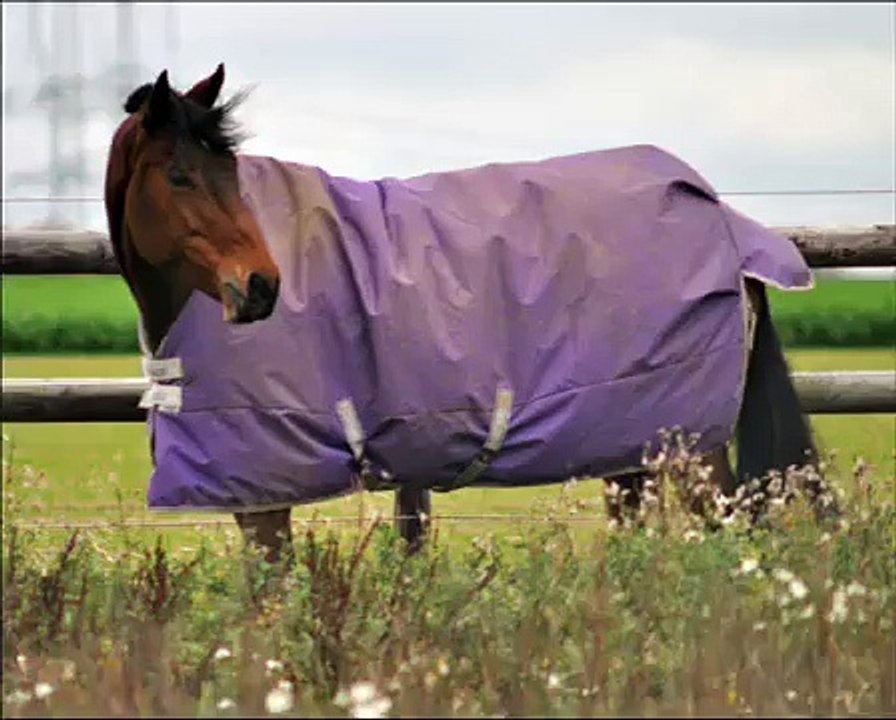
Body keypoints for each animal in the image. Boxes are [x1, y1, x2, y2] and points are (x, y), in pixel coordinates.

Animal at [104, 64, 817, 563]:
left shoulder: (261, 494)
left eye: (229, 170)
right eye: (178, 175)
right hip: (633, 445)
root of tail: (723, 217)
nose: (260, 287)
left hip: (694, 449)